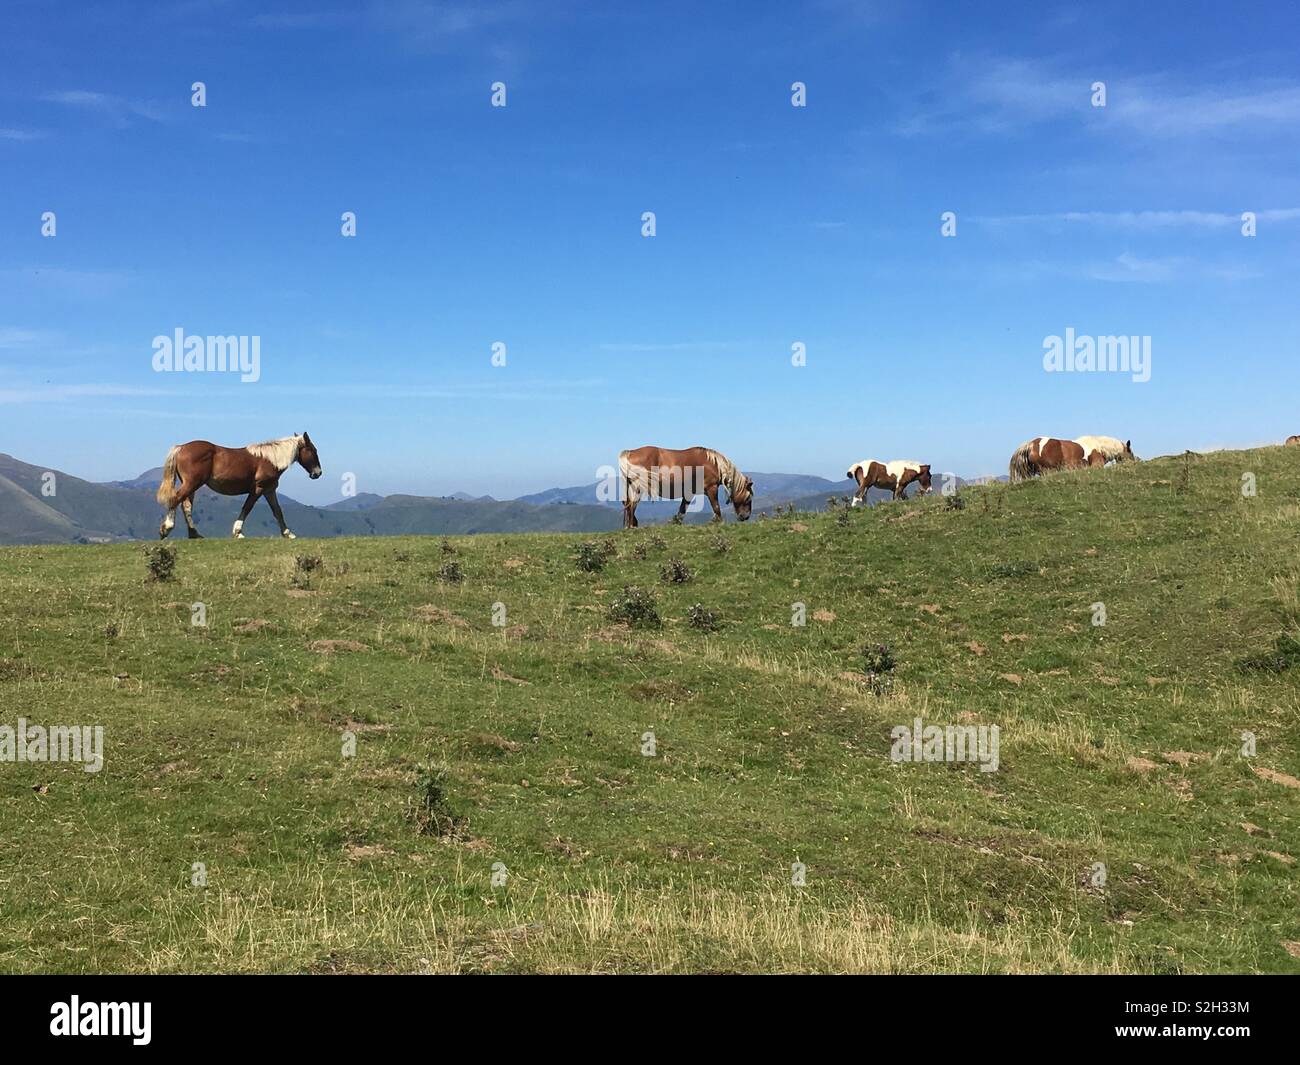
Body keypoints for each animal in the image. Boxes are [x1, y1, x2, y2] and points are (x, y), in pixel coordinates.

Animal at [155, 434, 325, 540]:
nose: (318, 473)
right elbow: (247, 508)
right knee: (176, 499)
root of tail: (181, 447)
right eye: (312, 450)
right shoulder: (258, 489)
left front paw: (288, 533)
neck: (270, 459)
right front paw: (238, 532)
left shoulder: (269, 490)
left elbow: (277, 511)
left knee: (186, 506)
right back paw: (167, 528)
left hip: (192, 486)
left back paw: (194, 534)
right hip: (192, 484)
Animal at [616, 444, 754, 527]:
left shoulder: (689, 493)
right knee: (632, 505)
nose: (745, 517)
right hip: (638, 488)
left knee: (628, 504)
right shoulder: (711, 488)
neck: (713, 464)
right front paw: (719, 522)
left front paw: (675, 522)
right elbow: (716, 507)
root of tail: (630, 452)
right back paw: (632, 526)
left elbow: (682, 510)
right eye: (748, 498)